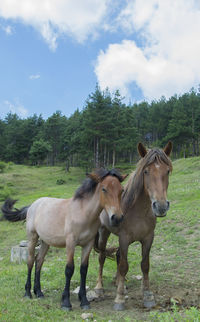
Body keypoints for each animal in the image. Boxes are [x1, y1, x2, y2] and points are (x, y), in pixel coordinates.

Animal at [1, 170, 126, 310]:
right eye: (104, 189)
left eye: (121, 190)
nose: (117, 218)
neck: (83, 213)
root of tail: (32, 205)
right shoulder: (70, 243)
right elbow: (69, 269)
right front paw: (66, 302)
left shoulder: (87, 244)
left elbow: (83, 269)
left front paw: (84, 301)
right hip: (32, 237)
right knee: (30, 261)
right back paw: (28, 293)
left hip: (45, 242)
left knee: (39, 261)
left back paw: (39, 292)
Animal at [94, 142, 173, 310]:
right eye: (146, 171)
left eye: (167, 171)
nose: (161, 206)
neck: (139, 212)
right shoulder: (124, 238)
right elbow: (124, 265)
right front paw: (119, 299)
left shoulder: (148, 238)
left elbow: (145, 265)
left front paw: (148, 295)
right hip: (104, 232)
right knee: (102, 257)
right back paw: (99, 288)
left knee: (117, 256)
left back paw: (120, 284)